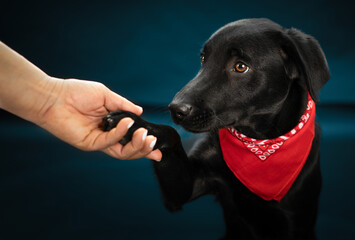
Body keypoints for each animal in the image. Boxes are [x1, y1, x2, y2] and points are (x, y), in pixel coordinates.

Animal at [103, 17, 330, 239]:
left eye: (240, 66)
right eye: (204, 59)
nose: (175, 109)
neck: (259, 144)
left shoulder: (294, 219)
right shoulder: (186, 188)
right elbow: (172, 133)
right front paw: (135, 124)